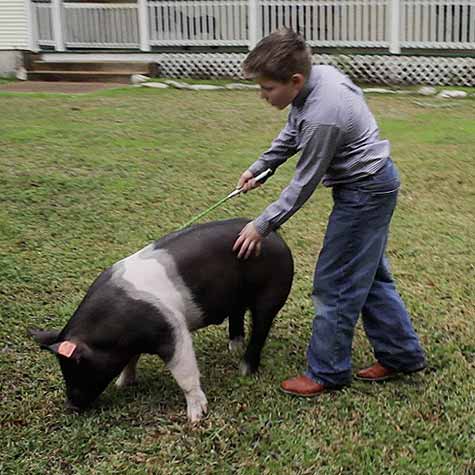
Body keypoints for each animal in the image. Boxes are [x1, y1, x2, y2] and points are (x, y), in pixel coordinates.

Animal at [29, 218, 294, 422]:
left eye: (78, 367)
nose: (71, 407)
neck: (115, 335)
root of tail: (275, 236)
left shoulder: (173, 331)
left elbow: (185, 373)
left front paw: (196, 418)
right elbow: (130, 361)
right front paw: (123, 384)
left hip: (272, 293)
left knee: (260, 328)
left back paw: (244, 369)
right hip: (237, 296)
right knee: (237, 314)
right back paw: (233, 348)